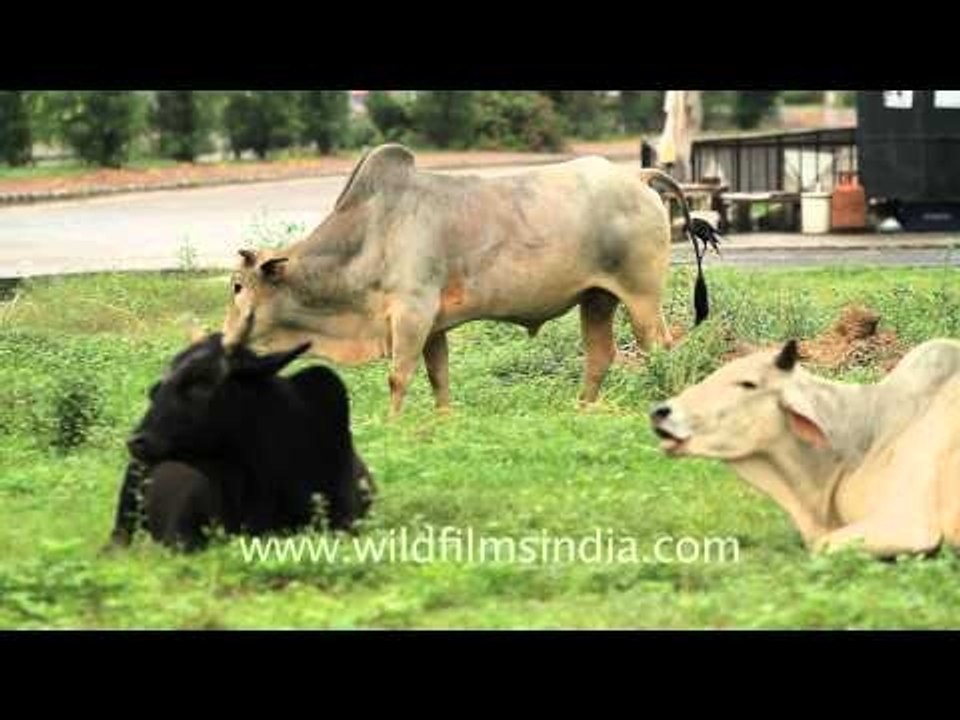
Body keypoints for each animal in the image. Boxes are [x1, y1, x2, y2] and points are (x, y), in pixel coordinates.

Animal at [222, 143, 720, 415]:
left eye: (237, 285)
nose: (223, 340)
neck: (369, 231)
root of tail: (636, 175)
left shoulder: (411, 313)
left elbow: (398, 377)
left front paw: (393, 425)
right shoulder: (433, 325)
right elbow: (438, 377)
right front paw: (443, 421)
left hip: (642, 297)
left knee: (661, 349)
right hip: (597, 297)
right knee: (601, 355)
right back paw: (584, 409)